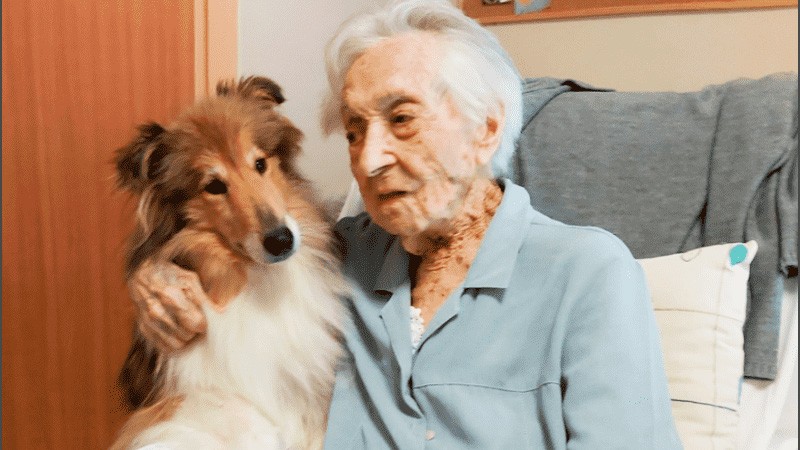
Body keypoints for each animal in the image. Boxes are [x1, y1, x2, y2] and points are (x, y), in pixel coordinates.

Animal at [111, 77, 347, 449]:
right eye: (214, 186)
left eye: (260, 164)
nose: (281, 240)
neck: (259, 281)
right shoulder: (177, 408)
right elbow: (238, 416)